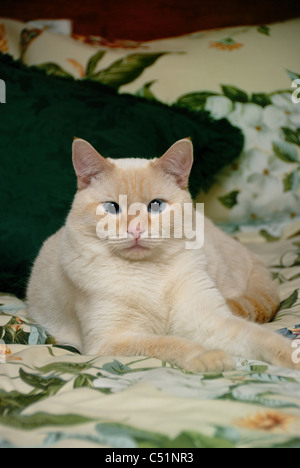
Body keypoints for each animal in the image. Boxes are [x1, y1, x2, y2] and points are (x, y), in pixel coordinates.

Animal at [26, 137, 300, 372]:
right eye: (112, 208)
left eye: (156, 205)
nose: (135, 229)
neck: (149, 272)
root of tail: (253, 256)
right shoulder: (114, 339)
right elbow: (171, 342)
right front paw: (210, 357)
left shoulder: (208, 320)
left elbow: (261, 338)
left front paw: (291, 357)